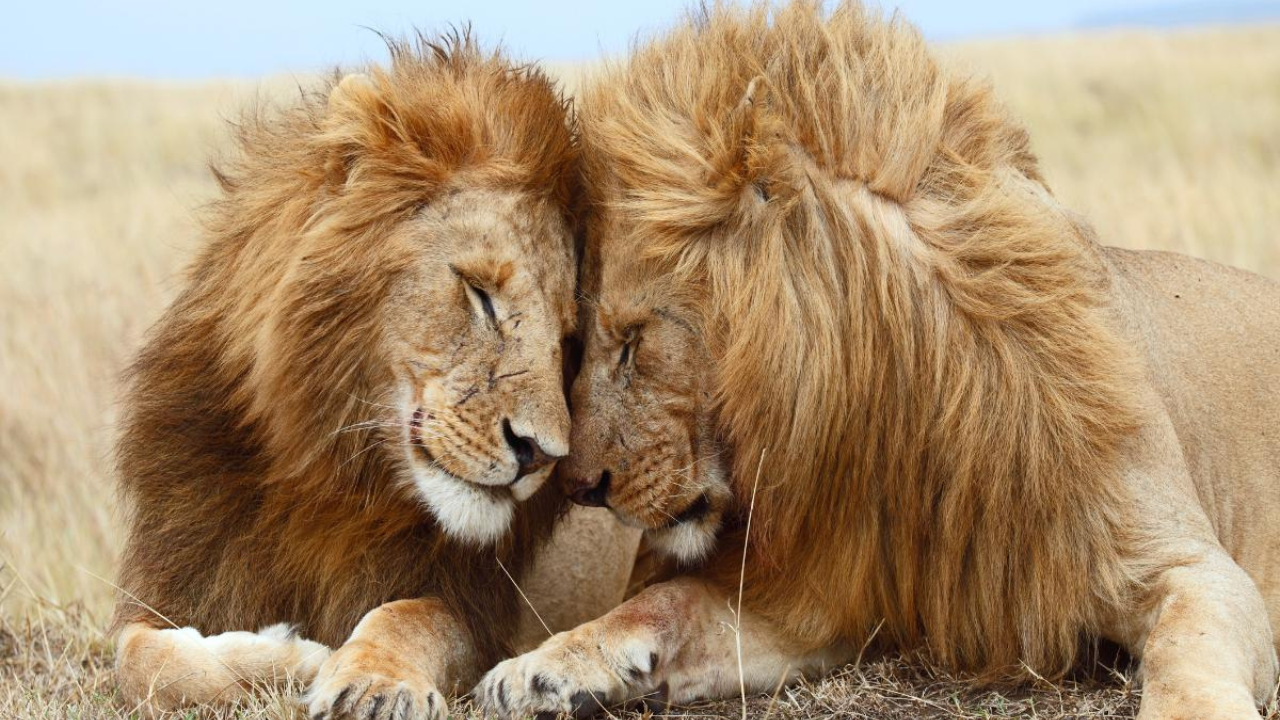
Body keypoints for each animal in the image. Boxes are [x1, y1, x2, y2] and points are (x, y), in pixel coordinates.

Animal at [111, 35, 638, 720]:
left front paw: (370, 681)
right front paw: (290, 656)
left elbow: (406, 616)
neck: (329, 470)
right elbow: (140, 660)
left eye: (568, 339)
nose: (540, 455)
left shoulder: (474, 610)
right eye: (480, 294)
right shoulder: (175, 582)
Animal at [476, 3, 1280, 718]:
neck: (900, 404)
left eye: (635, 339)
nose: (578, 486)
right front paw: (540, 668)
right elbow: (665, 601)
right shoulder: (820, 596)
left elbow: (1186, 653)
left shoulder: (1191, 567)